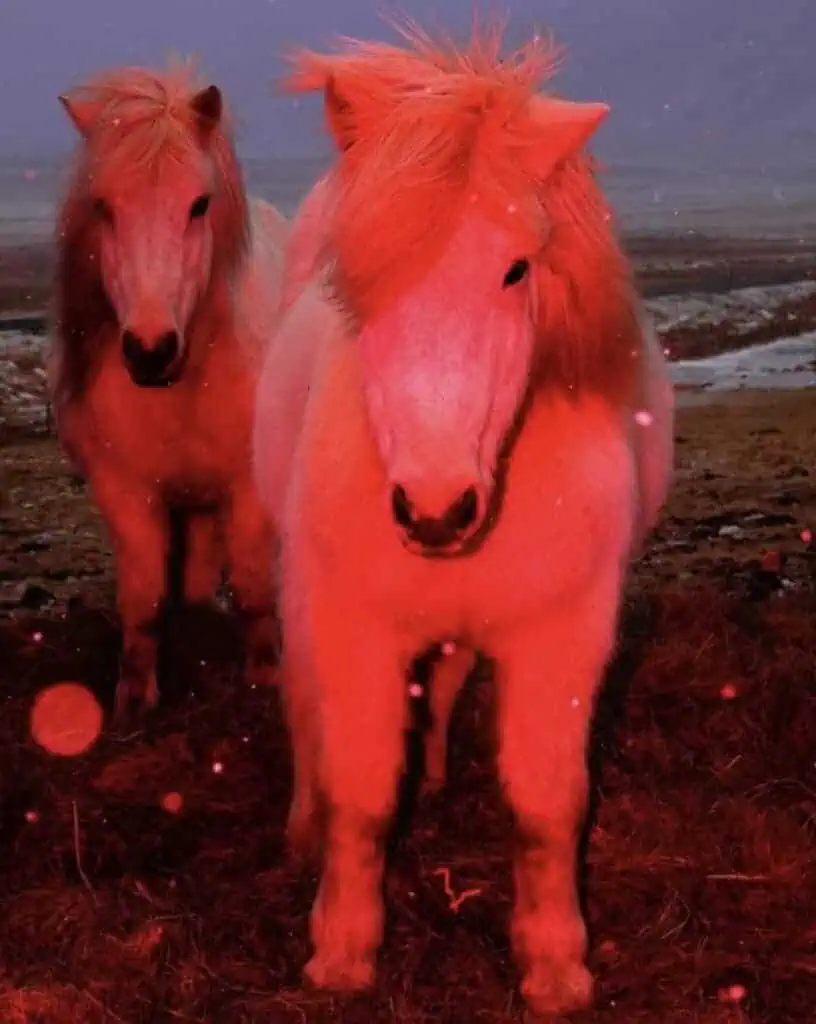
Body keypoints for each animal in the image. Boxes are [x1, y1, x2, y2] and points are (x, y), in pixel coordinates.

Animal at [49, 60, 288, 721]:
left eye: (199, 205)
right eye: (103, 207)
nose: (150, 350)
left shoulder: (250, 486)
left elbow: (255, 585)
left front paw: (265, 680)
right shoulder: (126, 492)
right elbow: (146, 598)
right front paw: (135, 699)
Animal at [253, 25, 674, 1016]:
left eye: (516, 268)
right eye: (361, 277)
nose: (434, 511)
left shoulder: (563, 638)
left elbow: (547, 805)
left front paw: (556, 964)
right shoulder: (357, 630)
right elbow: (362, 793)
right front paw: (341, 951)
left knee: (440, 688)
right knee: (305, 712)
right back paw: (303, 825)